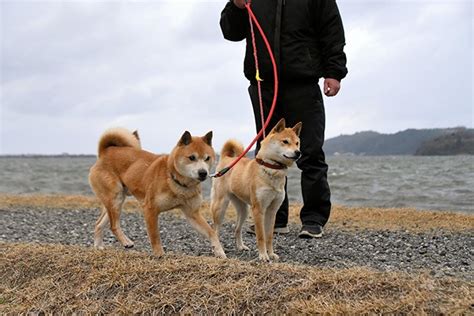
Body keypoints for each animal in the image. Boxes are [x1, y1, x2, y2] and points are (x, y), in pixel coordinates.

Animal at [90, 127, 228, 258]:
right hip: (115, 199)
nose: (203, 173)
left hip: (115, 201)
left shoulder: (192, 213)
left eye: (207, 158)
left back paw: (98, 246)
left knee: (98, 224)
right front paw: (159, 254)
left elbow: (211, 232)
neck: (175, 180)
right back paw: (126, 242)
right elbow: (155, 235)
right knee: (113, 225)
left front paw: (220, 252)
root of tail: (105, 152)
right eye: (192, 158)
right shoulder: (150, 209)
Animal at [210, 119, 302, 262]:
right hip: (220, 207)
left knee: (237, 229)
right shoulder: (258, 209)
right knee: (215, 230)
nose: (298, 152)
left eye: (297, 143)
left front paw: (271, 254)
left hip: (244, 210)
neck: (272, 168)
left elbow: (269, 236)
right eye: (285, 141)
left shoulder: (272, 211)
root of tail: (226, 159)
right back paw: (218, 251)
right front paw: (263, 255)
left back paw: (241, 246)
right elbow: (261, 236)